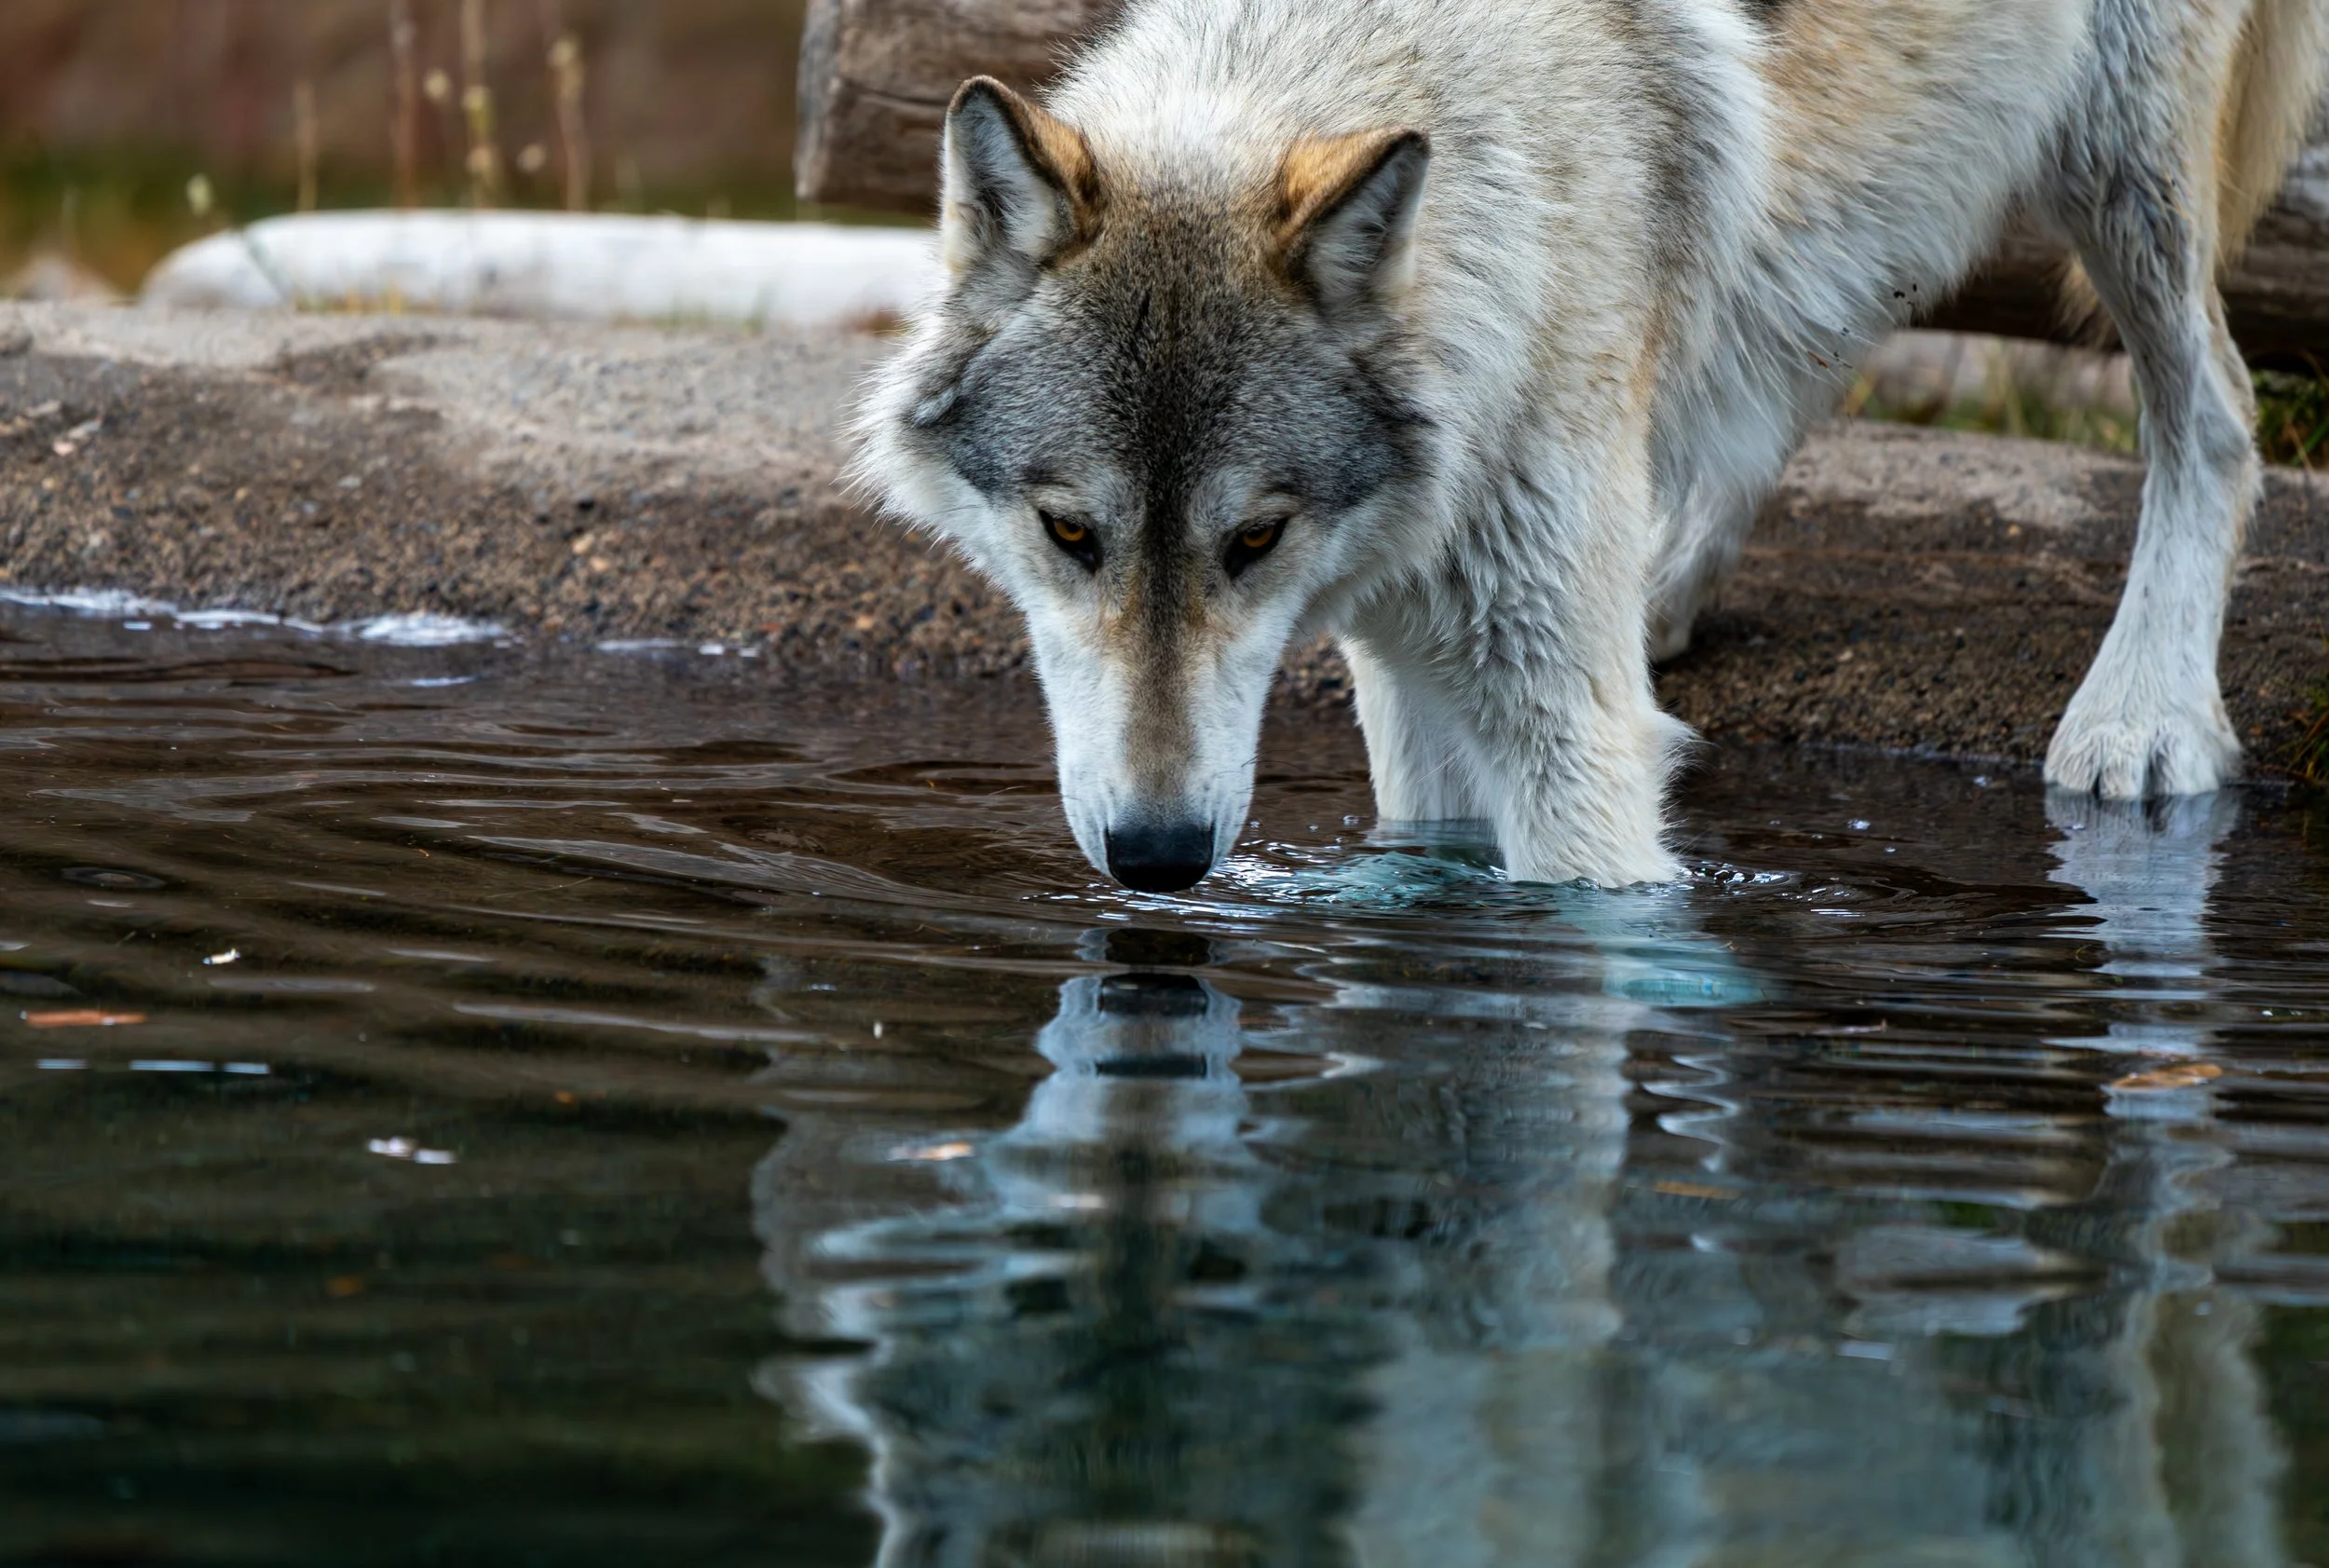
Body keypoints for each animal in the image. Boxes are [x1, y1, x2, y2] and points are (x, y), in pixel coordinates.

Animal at [857, 0, 2329, 892]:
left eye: (1255, 539)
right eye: (1070, 533)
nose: (1159, 858)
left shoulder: (1565, 735)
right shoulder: (1409, 664)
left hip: (2122, 167)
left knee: (2214, 410)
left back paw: (2143, 716)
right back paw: (1664, 589)